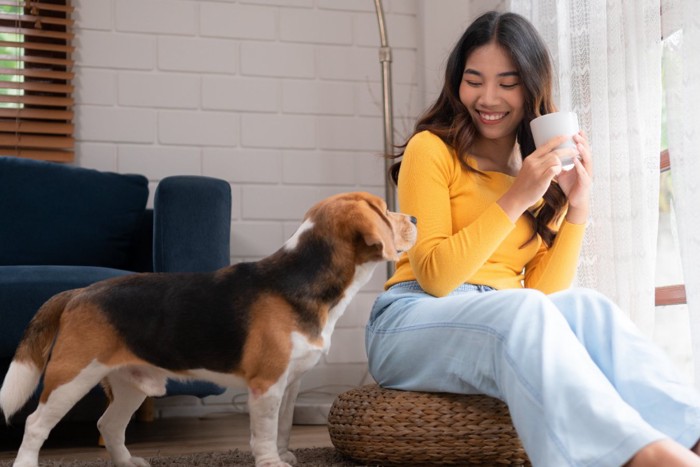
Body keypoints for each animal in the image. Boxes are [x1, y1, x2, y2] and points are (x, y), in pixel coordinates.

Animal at [0, 191, 416, 467]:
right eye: (384, 209)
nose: (413, 219)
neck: (301, 277)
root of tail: (79, 292)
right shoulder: (266, 384)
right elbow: (264, 433)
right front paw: (271, 462)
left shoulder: (290, 382)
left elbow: (282, 426)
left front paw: (285, 454)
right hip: (71, 377)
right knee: (36, 424)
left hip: (131, 382)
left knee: (109, 423)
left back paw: (127, 462)